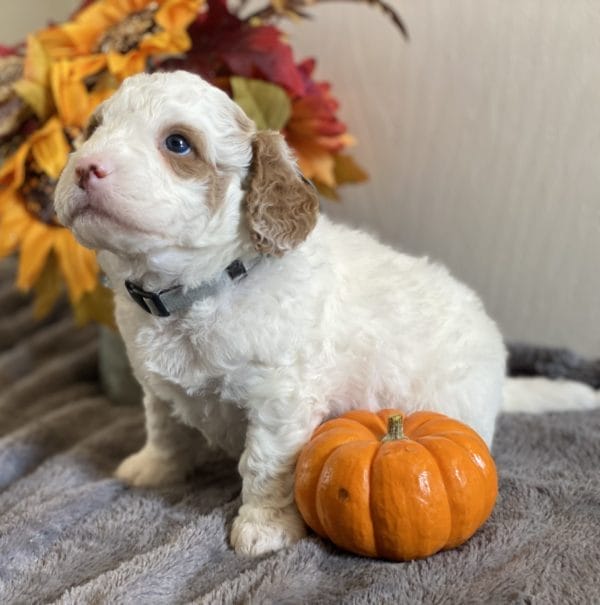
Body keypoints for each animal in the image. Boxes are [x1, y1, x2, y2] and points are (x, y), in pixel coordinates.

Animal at [55, 71, 596, 556]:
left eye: (178, 143)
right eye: (94, 128)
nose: (85, 168)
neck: (198, 291)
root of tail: (500, 378)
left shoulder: (279, 400)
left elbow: (265, 465)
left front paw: (264, 529)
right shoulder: (158, 385)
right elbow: (164, 428)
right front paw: (153, 469)